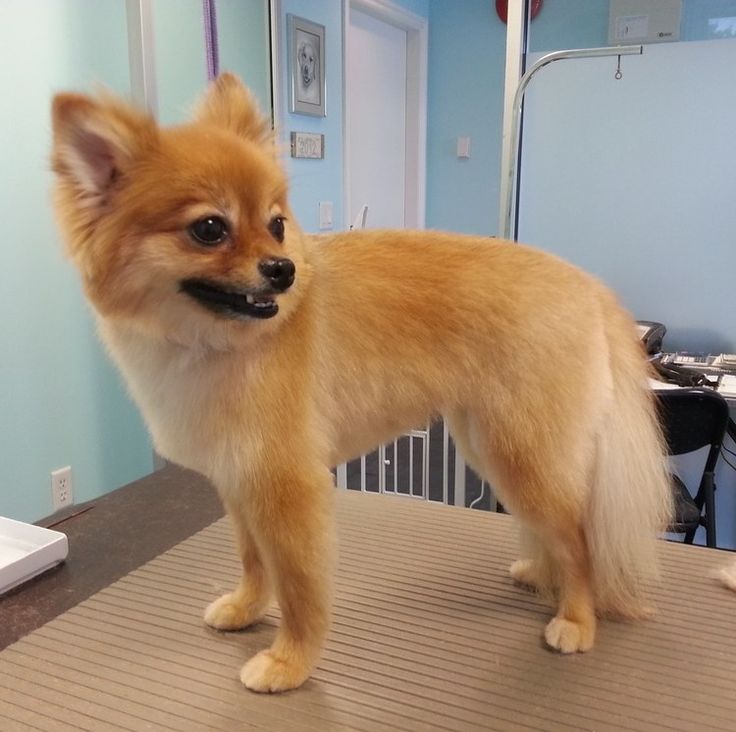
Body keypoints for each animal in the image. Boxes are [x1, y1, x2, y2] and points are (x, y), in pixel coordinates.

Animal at [50, 73, 672, 692]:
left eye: (276, 225)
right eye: (209, 229)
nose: (283, 269)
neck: (212, 342)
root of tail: (588, 286)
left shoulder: (288, 485)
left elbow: (299, 587)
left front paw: (289, 662)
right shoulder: (240, 477)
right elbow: (253, 559)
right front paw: (247, 608)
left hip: (523, 451)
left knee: (579, 539)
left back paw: (577, 618)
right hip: (492, 445)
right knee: (553, 530)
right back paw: (543, 577)